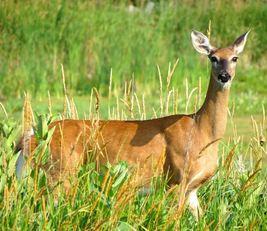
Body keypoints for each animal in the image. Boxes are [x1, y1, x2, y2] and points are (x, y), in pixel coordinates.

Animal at [16, 29, 251, 220]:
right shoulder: (176, 178)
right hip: (59, 171)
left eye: (235, 58)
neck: (202, 132)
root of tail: (32, 134)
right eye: (213, 58)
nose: (224, 76)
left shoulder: (192, 189)